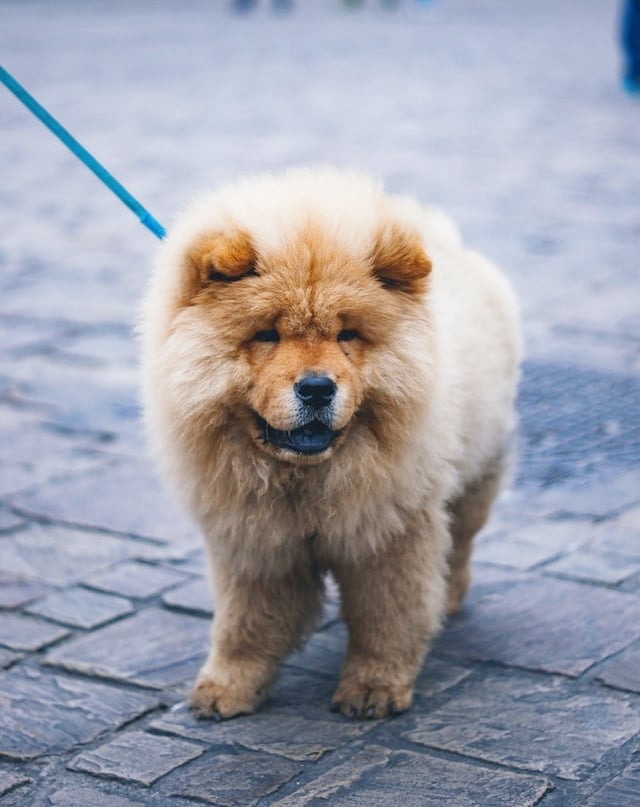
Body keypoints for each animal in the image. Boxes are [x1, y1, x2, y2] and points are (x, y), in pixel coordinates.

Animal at [140, 166, 521, 719]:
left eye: (348, 335)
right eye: (267, 335)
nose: (317, 387)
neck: (304, 479)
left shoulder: (389, 536)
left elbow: (386, 620)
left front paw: (373, 690)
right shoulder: (252, 543)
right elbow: (243, 625)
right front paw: (226, 689)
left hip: (477, 475)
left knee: (460, 544)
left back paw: (448, 599)